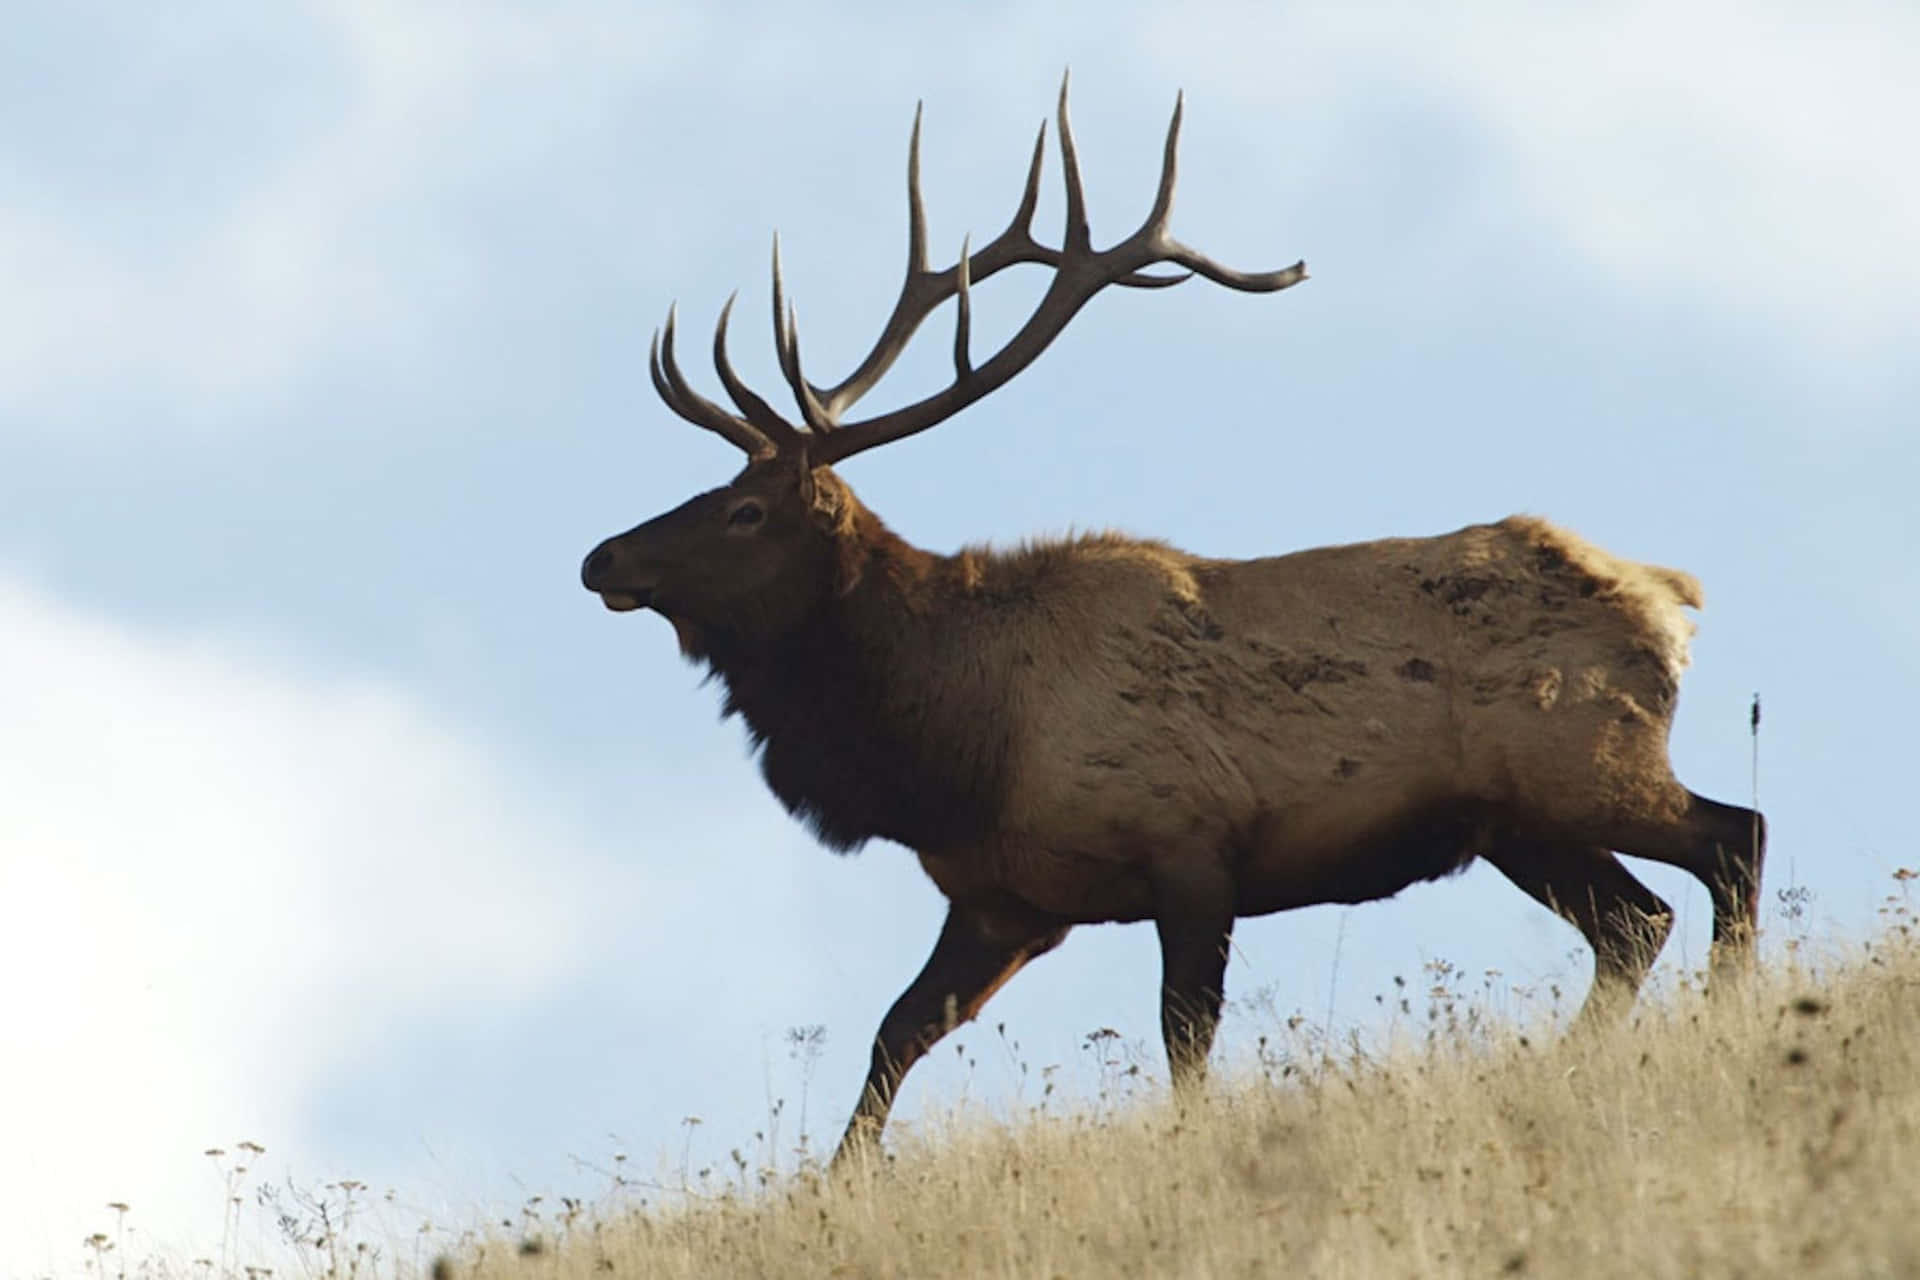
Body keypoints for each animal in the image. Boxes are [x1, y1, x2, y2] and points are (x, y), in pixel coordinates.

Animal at [579, 78, 1767, 1168]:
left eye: (744, 510)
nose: (602, 558)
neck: (956, 740)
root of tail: (1672, 598)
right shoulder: (1005, 897)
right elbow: (895, 1033)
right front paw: (834, 1186)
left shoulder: (1189, 846)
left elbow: (1182, 1041)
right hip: (1523, 821)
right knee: (1636, 923)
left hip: (1586, 764)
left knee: (1731, 839)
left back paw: (1730, 1014)